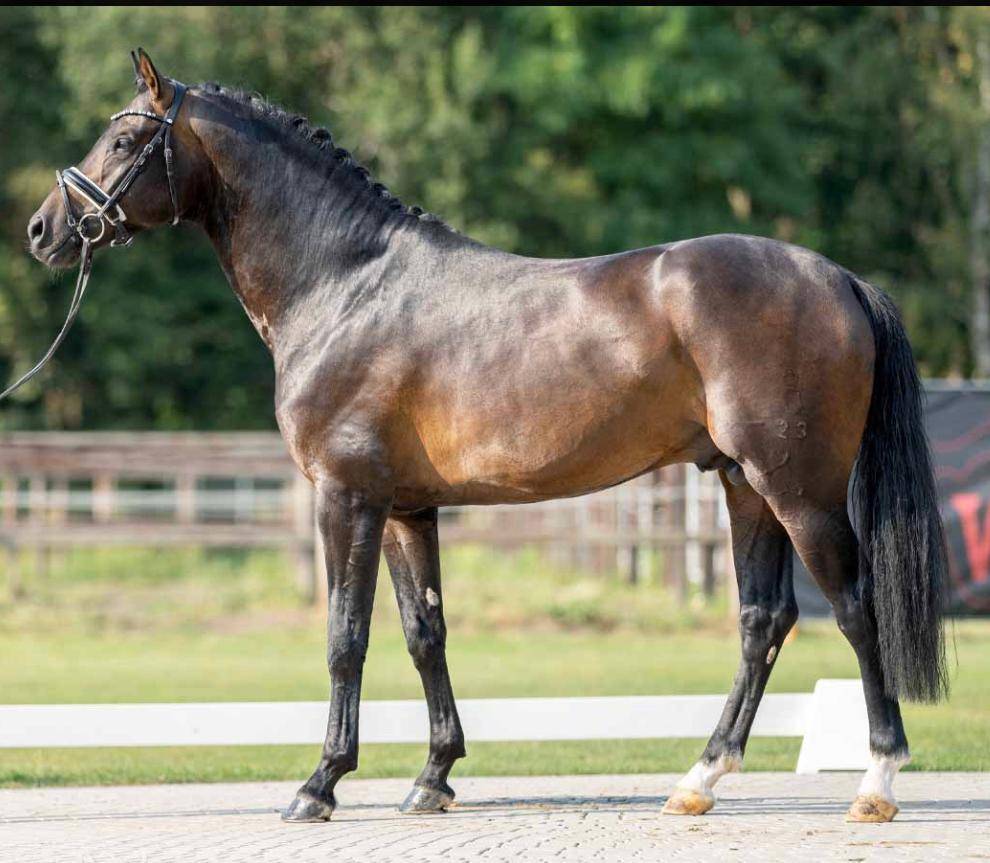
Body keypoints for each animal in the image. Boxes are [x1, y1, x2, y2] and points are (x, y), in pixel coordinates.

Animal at [26, 49, 947, 825]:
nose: (43, 230)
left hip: (799, 490)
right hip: (742, 483)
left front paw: (319, 782)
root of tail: (838, 277)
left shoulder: (345, 498)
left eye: (123, 139)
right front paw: (433, 776)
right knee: (764, 619)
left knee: (853, 607)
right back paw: (699, 779)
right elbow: (423, 633)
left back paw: (875, 782)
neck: (346, 283)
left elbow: (345, 637)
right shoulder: (405, 508)